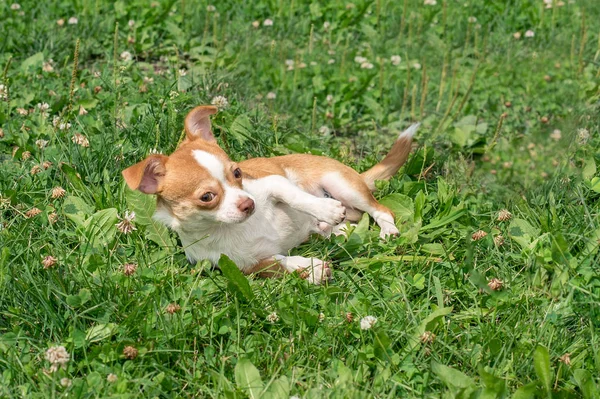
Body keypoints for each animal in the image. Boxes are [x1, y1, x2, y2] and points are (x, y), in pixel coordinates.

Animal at [123, 106, 418, 284]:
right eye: (207, 197)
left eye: (238, 173)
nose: (248, 204)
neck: (232, 228)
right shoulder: (243, 266)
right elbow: (278, 263)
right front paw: (310, 268)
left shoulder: (274, 183)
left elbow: (296, 196)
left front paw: (326, 209)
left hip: (341, 184)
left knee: (381, 209)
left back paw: (385, 230)